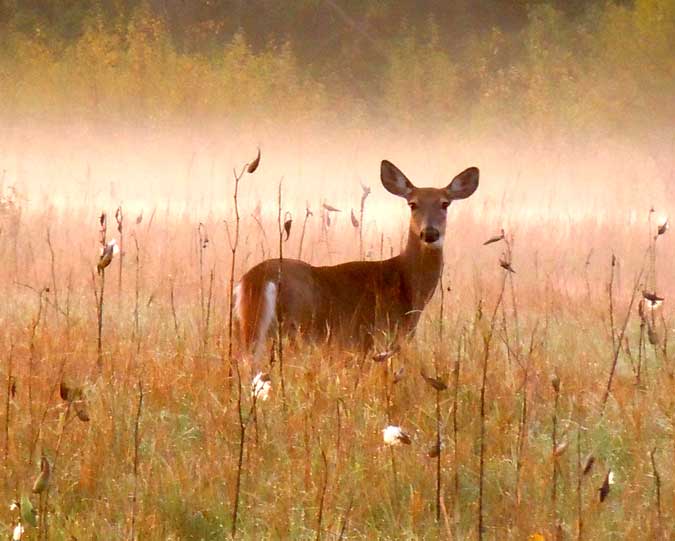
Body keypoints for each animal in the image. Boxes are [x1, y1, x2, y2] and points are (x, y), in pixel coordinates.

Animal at [234, 160, 479, 361]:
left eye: (445, 204)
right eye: (412, 204)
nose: (429, 233)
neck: (406, 283)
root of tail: (256, 279)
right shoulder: (372, 335)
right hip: (295, 325)